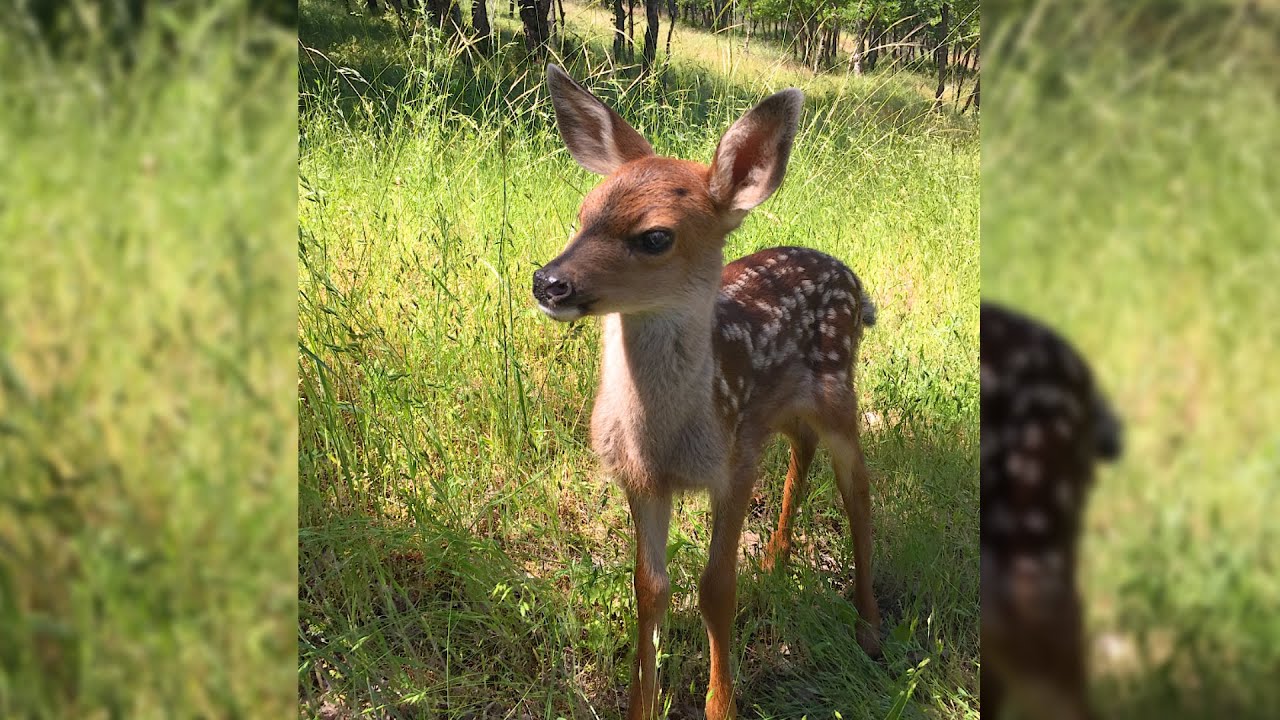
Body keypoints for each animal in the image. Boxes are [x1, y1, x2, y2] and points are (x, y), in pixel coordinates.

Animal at [531, 64, 882, 720]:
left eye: (654, 237)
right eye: (582, 212)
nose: (549, 282)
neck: (666, 439)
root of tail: (854, 279)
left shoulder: (732, 467)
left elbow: (716, 588)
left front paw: (722, 704)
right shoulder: (641, 479)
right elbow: (649, 588)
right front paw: (641, 703)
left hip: (837, 393)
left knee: (860, 495)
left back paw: (869, 627)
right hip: (778, 413)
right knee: (802, 448)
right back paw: (776, 555)